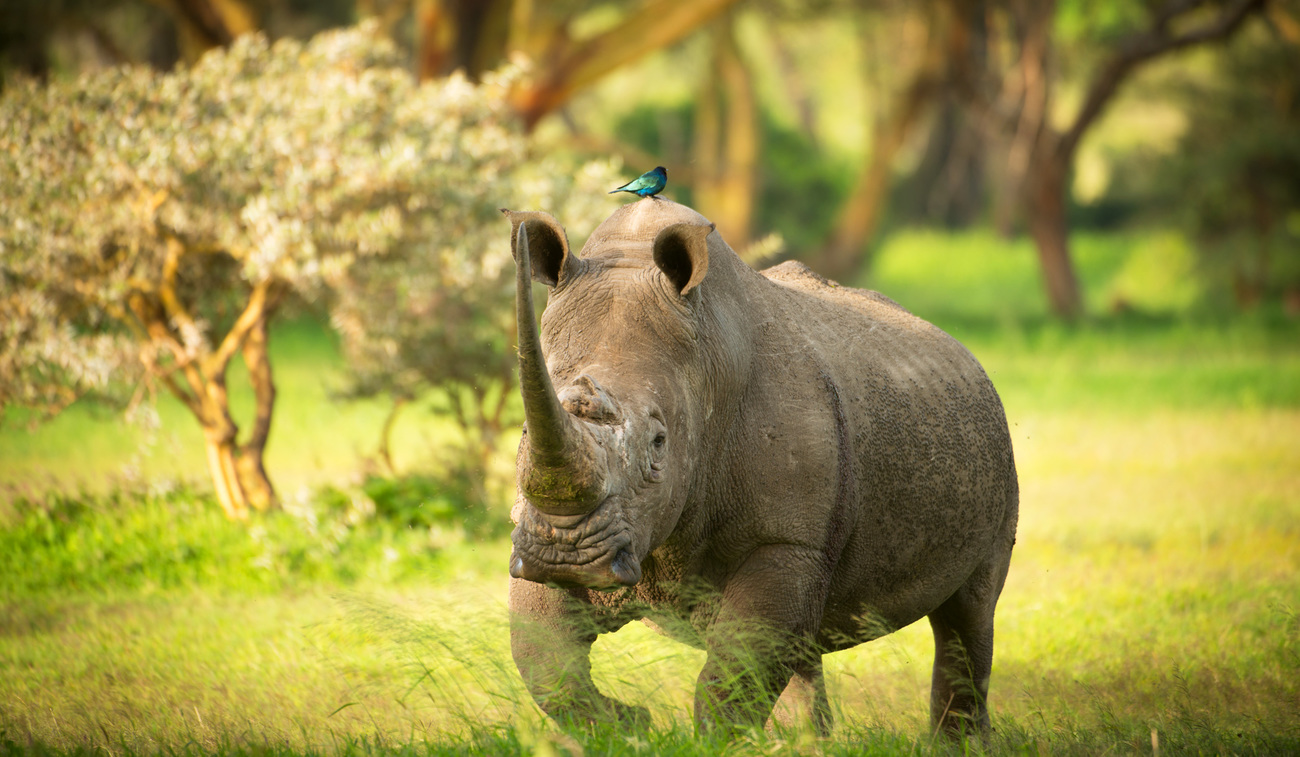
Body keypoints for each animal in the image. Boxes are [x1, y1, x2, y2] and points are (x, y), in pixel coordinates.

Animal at [496, 199, 1013, 738]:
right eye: (525, 434)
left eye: (659, 443)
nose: (568, 557)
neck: (704, 364)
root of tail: (961, 349)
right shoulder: (536, 528)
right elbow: (544, 660)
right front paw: (629, 723)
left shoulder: (787, 539)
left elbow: (734, 676)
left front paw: (705, 742)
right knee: (804, 638)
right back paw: (803, 743)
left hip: (984, 438)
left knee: (969, 614)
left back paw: (957, 741)